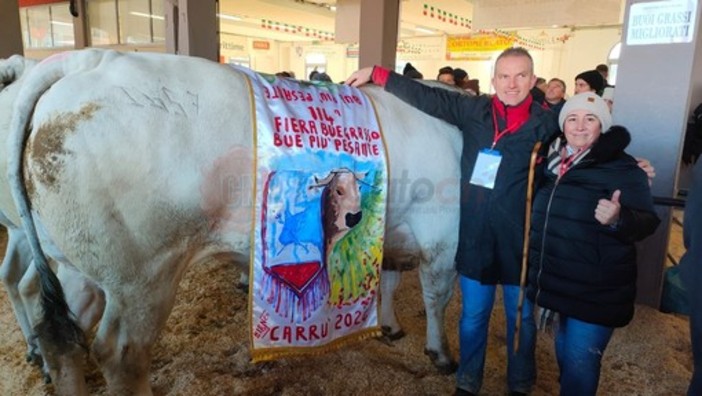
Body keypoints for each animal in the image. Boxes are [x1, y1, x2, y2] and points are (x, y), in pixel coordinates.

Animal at [8, 49, 464, 396]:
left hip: (77, 265)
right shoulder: (444, 237)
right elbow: (437, 296)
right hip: (142, 276)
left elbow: (389, 281)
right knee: (120, 354)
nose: (353, 215)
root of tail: (91, 58)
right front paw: (441, 353)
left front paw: (390, 326)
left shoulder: (395, 233)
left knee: (60, 338)